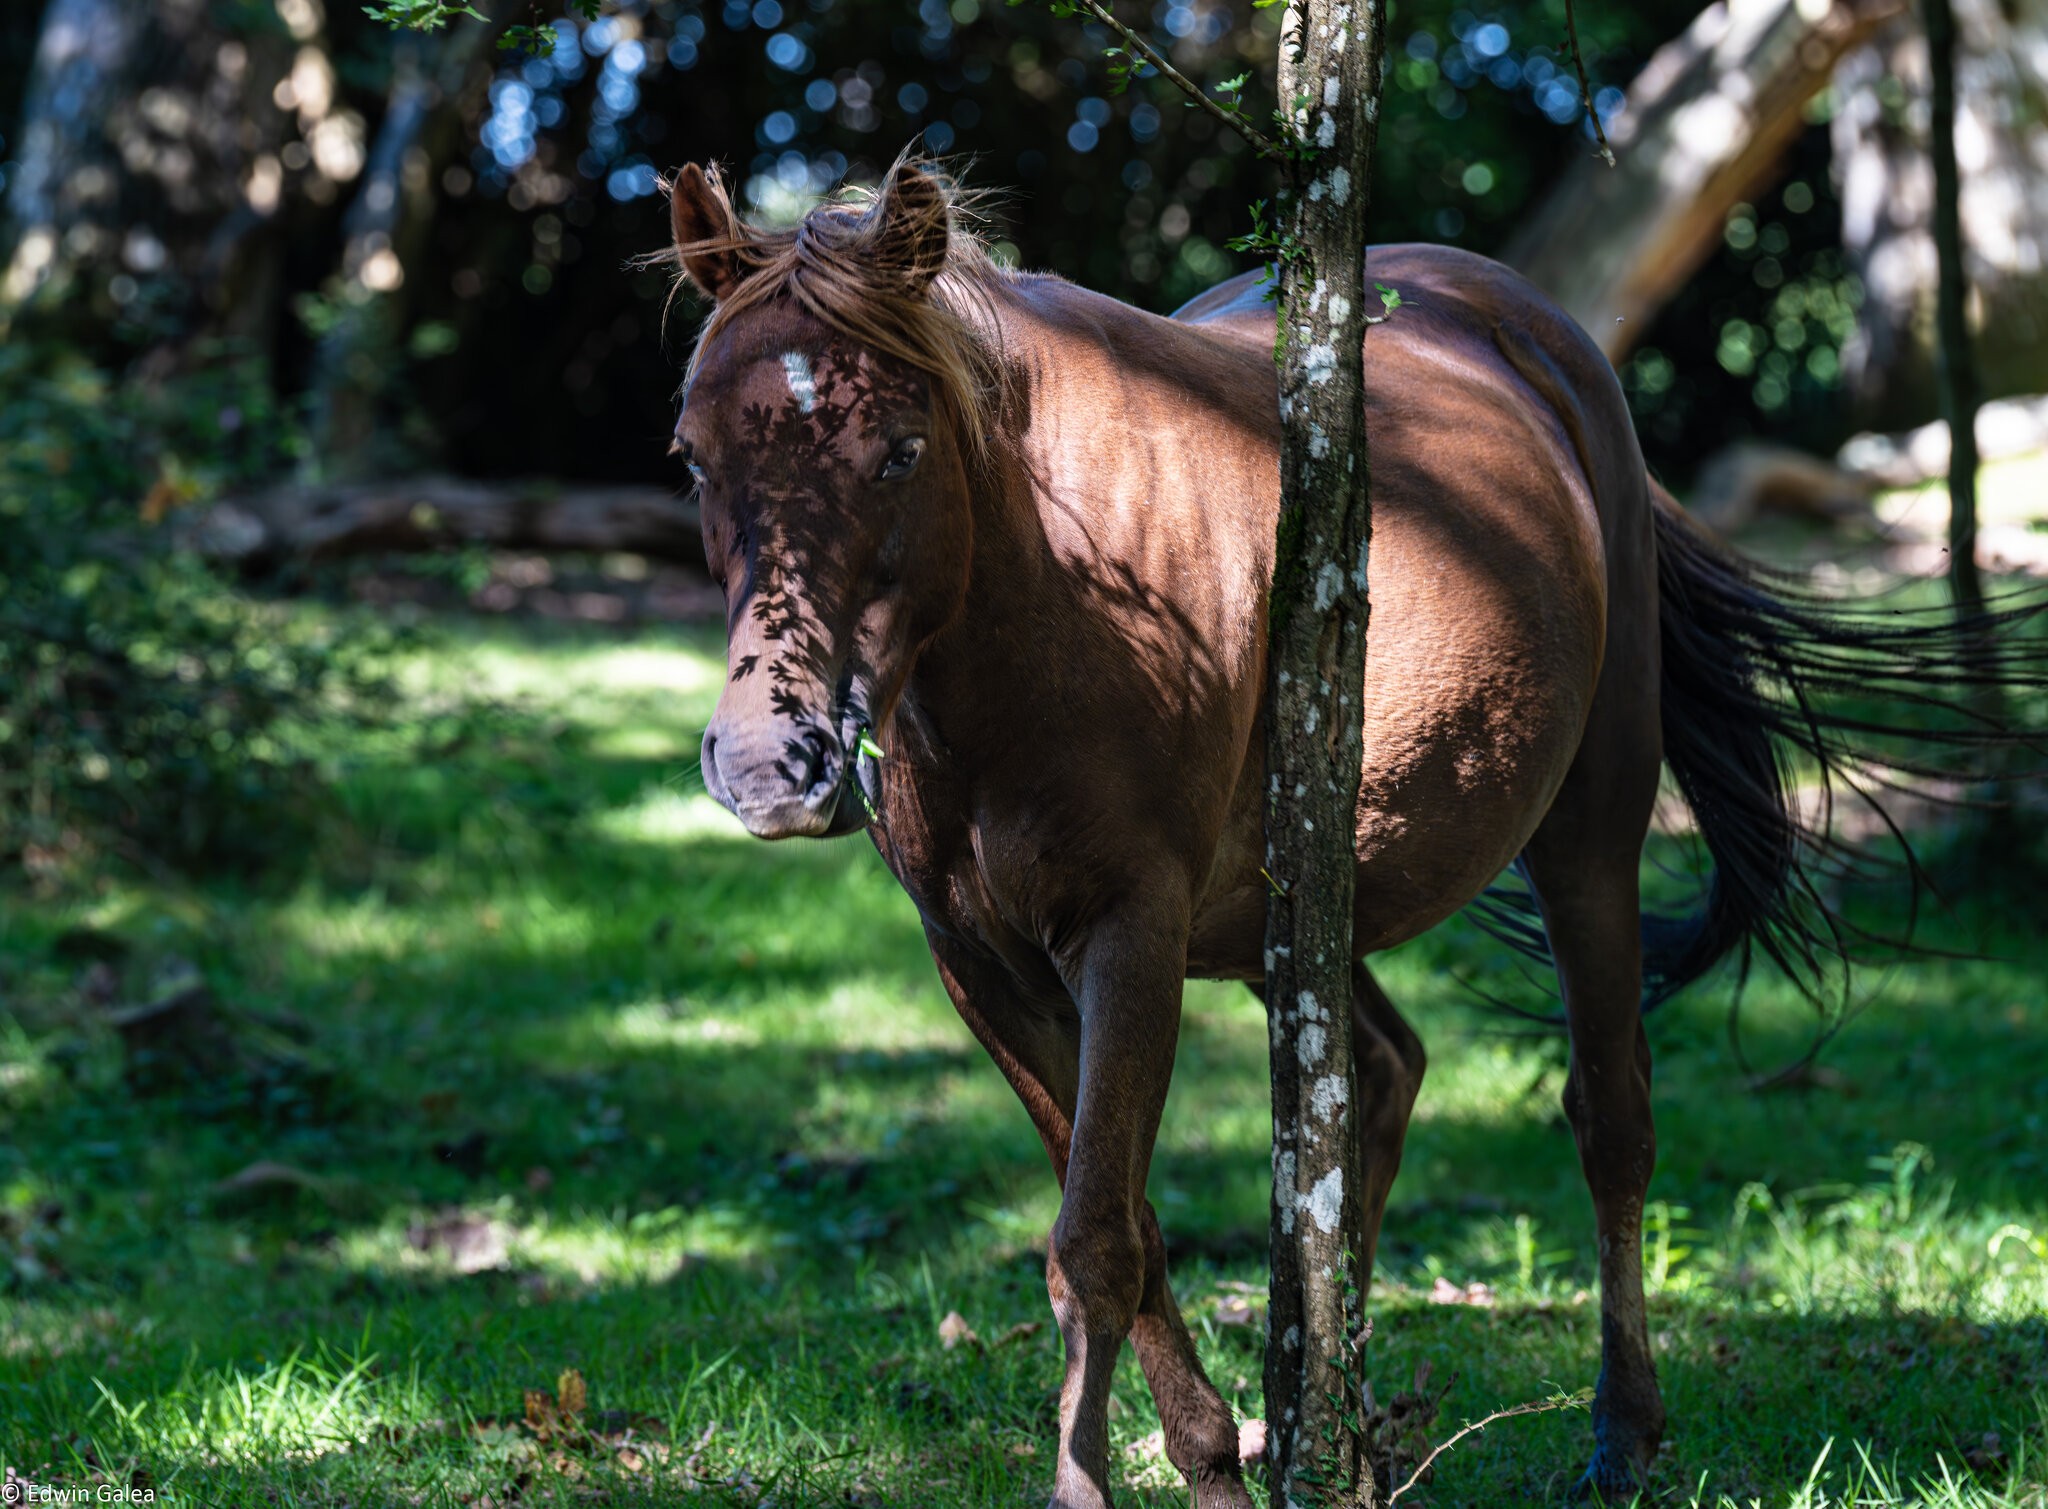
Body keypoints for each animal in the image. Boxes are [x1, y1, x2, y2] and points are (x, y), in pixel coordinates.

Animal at [667, 155, 2031, 1506]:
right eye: (689, 457)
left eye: (900, 451)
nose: (768, 763)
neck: (1048, 593)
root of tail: (1542, 340)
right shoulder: (984, 970)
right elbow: (1128, 1225)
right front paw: (1214, 1460)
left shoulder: (1127, 938)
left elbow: (1093, 1242)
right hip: (1302, 912)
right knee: (1379, 1073)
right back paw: (1343, 1430)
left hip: (1586, 835)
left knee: (1610, 1120)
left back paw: (1616, 1433)